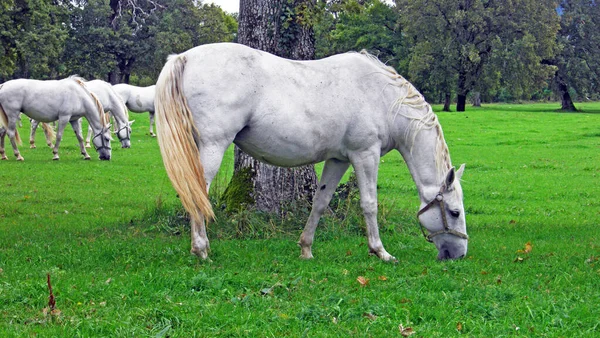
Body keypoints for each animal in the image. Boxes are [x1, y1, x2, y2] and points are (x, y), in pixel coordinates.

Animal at [154, 42, 468, 262]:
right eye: (454, 212)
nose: (459, 254)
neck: (383, 97)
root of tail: (185, 57)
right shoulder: (365, 155)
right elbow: (369, 204)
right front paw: (380, 252)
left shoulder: (338, 159)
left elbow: (320, 201)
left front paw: (306, 248)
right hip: (213, 146)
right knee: (197, 194)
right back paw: (201, 249)